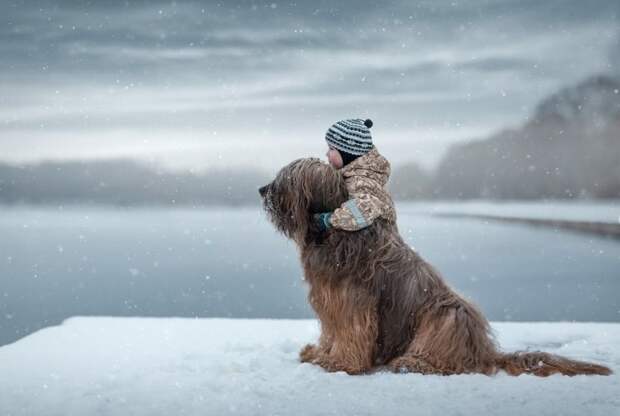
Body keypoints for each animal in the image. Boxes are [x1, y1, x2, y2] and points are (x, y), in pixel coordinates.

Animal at [260, 157, 612, 376]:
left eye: (285, 179)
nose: (262, 189)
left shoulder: (352, 302)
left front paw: (340, 364)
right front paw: (319, 353)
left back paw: (413, 362)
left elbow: (350, 333)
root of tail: (484, 352)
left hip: (447, 314)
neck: (331, 230)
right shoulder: (330, 300)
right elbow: (332, 332)